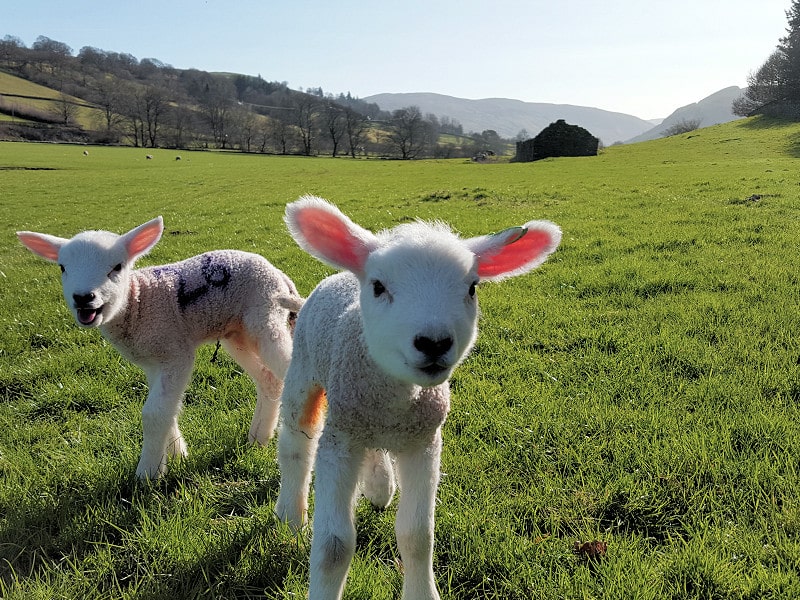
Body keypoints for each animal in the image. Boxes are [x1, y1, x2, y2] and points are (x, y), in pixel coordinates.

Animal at [17, 217, 303, 479]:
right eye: (62, 267)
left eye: (117, 267)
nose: (83, 298)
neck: (138, 301)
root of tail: (280, 275)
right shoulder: (153, 362)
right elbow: (168, 410)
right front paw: (177, 456)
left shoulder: (175, 351)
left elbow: (153, 413)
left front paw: (147, 474)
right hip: (238, 334)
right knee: (269, 380)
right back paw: (258, 438)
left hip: (265, 316)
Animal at [275, 196, 561, 599]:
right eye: (379, 286)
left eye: (472, 287)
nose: (434, 343)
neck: (394, 398)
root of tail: (344, 273)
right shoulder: (340, 439)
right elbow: (333, 547)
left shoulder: (423, 441)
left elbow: (418, 535)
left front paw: (423, 591)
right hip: (304, 369)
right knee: (296, 442)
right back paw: (289, 514)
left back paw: (380, 486)